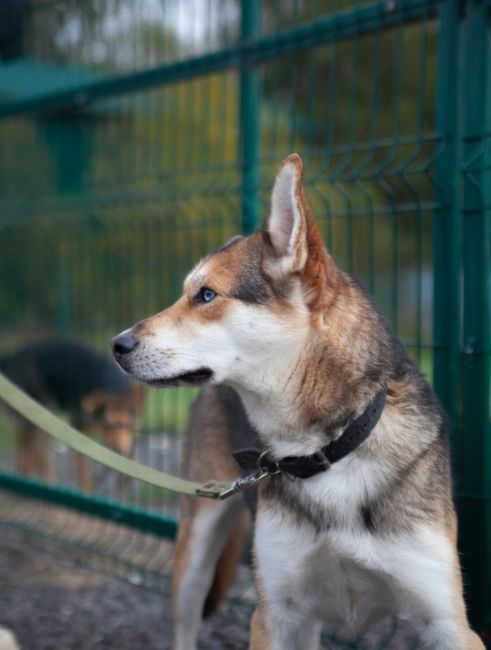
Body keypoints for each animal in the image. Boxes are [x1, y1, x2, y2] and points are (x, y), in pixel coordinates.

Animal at [0, 340, 144, 486]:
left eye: (129, 425)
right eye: (106, 425)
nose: (117, 450)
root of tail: (10, 357)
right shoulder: (78, 430)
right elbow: (84, 472)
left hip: (43, 422)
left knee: (28, 459)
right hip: (33, 423)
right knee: (35, 459)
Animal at [112, 154, 484, 644]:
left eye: (206, 295)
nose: (116, 345)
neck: (327, 451)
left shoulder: (446, 622)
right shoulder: (276, 614)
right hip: (194, 554)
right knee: (185, 625)